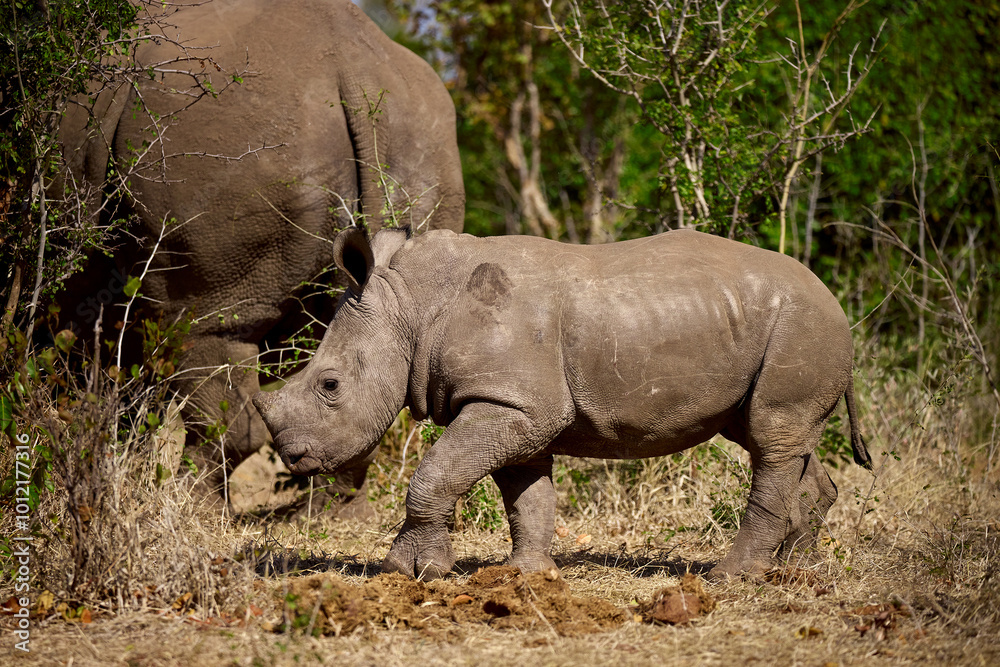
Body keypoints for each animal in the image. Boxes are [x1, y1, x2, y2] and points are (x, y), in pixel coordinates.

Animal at [56, 0, 464, 513]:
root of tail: (360, 72)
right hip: (422, 142)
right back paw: (317, 515)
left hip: (224, 150)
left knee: (208, 327)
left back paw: (197, 507)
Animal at [253, 227, 872, 579]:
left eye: (329, 386)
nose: (292, 456)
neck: (410, 307)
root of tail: (835, 300)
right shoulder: (517, 405)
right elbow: (527, 496)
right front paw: (524, 575)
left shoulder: (511, 401)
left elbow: (436, 473)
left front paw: (410, 572)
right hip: (774, 329)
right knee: (775, 438)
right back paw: (794, 568)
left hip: (801, 325)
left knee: (772, 438)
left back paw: (730, 578)